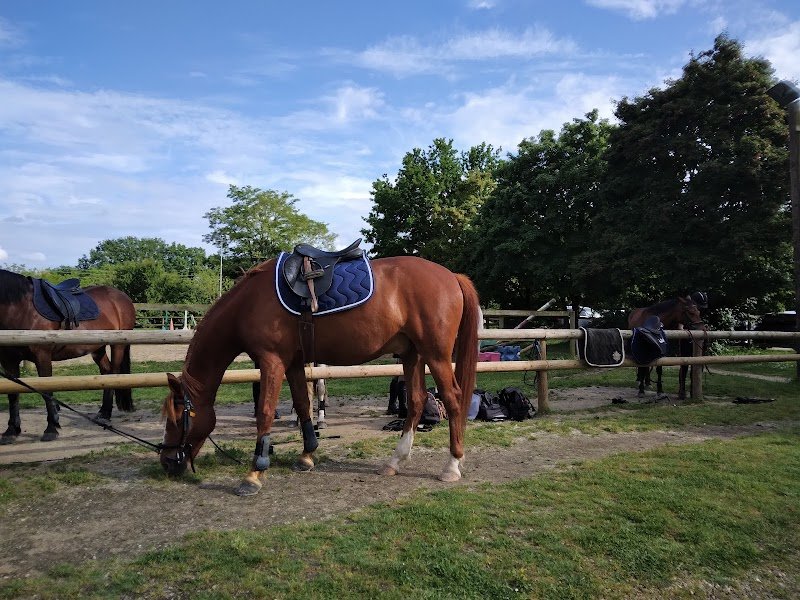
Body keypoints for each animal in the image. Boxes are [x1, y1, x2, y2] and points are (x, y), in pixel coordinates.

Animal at [0, 269, 136, 443]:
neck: (21, 309)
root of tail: (122, 296)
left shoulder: (42, 356)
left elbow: (47, 393)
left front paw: (51, 429)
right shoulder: (8, 360)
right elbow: (13, 394)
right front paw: (11, 431)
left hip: (117, 345)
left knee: (114, 374)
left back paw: (106, 415)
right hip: (97, 348)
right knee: (105, 372)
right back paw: (103, 413)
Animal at [160, 255, 479, 496]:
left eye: (177, 419)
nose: (166, 463)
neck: (248, 303)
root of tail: (451, 276)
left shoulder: (271, 361)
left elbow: (265, 412)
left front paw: (253, 473)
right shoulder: (292, 363)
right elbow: (303, 405)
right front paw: (307, 455)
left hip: (435, 355)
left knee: (452, 399)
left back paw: (451, 466)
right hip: (413, 356)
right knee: (416, 400)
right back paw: (394, 462)